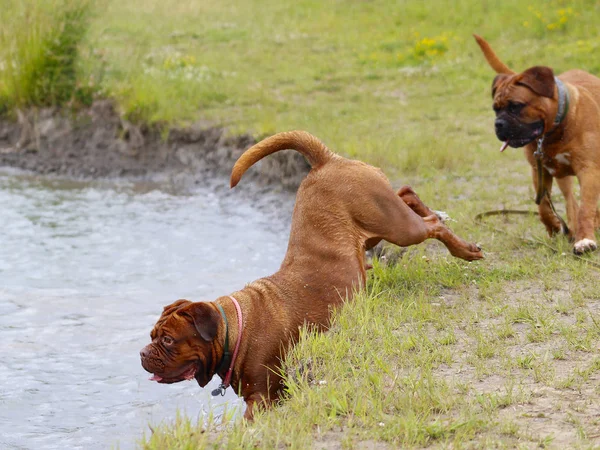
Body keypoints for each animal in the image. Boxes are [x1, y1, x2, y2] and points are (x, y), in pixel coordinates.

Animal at [139, 132, 482, 420]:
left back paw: (464, 249)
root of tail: (325, 161)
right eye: (152, 336)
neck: (233, 329)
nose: (143, 352)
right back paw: (439, 215)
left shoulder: (261, 399)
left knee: (430, 225)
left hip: (396, 226)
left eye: (167, 340)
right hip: (379, 225)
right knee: (408, 194)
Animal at [474, 34, 600, 253]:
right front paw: (555, 227)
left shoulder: (589, 171)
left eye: (516, 106)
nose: (498, 124)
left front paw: (585, 238)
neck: (555, 130)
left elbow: (586, 207)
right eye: (496, 109)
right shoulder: (539, 171)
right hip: (561, 177)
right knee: (570, 201)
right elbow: (543, 207)